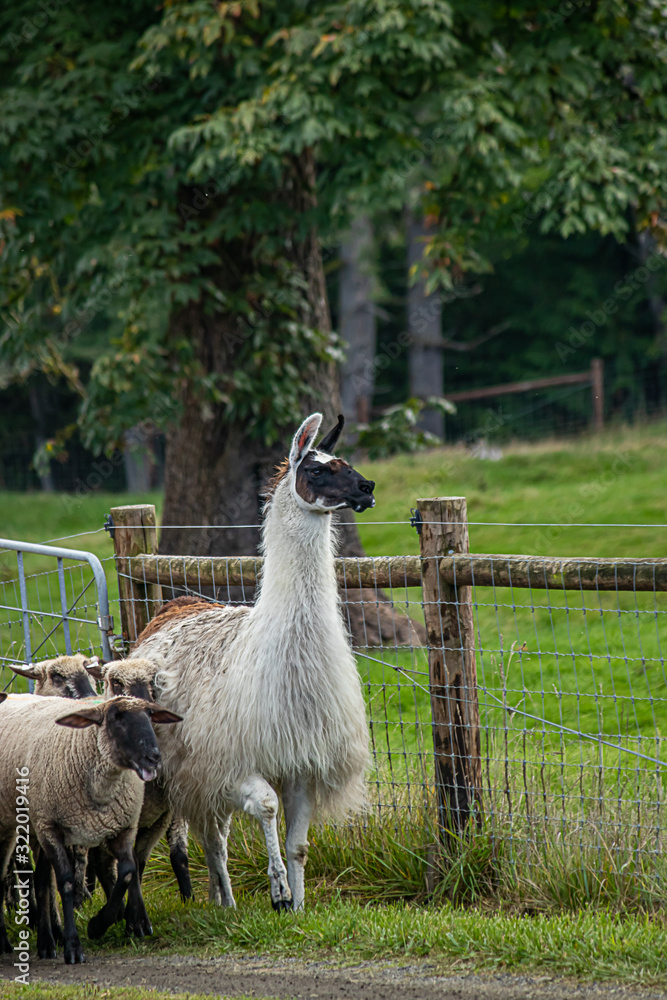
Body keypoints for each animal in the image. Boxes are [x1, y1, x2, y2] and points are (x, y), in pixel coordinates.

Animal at [0, 694, 181, 963]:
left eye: (150, 716)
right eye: (117, 718)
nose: (154, 756)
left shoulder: (123, 828)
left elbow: (128, 872)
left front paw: (97, 925)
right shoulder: (51, 827)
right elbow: (66, 882)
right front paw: (74, 947)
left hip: (36, 826)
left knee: (42, 879)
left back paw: (47, 942)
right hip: (24, 824)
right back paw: (14, 942)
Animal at [84, 656, 193, 902]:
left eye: (153, 681)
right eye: (116, 682)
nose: (145, 709)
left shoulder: (165, 815)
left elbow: (176, 855)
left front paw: (189, 899)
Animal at [134, 412, 375, 910]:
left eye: (347, 462)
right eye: (317, 469)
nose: (367, 488)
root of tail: (176, 605)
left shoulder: (302, 762)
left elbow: (299, 844)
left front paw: (297, 906)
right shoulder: (232, 762)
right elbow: (266, 805)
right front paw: (278, 890)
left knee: (214, 837)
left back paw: (221, 901)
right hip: (192, 769)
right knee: (212, 838)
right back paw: (223, 903)